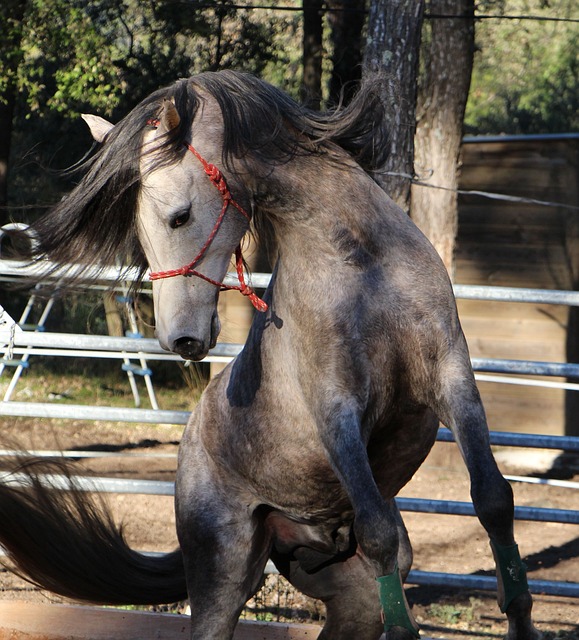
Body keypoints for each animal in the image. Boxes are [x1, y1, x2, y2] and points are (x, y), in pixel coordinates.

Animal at [0, 71, 540, 640]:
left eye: (179, 217)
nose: (179, 340)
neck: (360, 262)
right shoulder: (336, 408)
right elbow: (378, 532)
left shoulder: (452, 379)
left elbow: (494, 500)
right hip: (223, 578)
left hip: (351, 599)